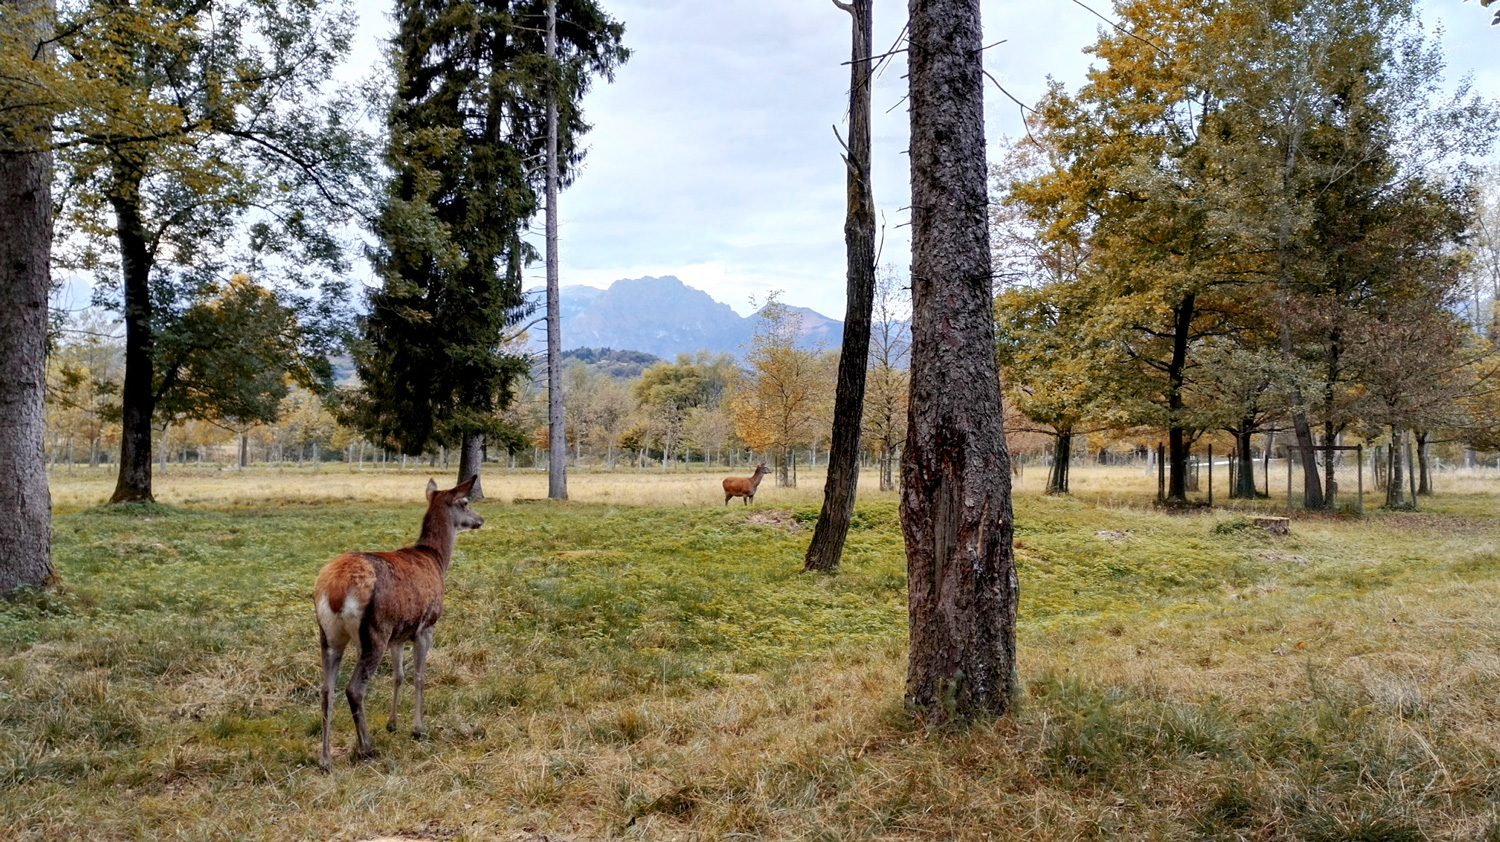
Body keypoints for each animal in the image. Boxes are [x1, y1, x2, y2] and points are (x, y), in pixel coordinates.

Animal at [313, 475, 483, 770]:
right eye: (465, 502)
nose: (480, 519)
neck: (437, 560)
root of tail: (335, 590)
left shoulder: (400, 634)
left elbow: (398, 676)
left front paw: (392, 724)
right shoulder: (426, 625)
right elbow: (419, 676)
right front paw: (417, 728)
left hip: (329, 635)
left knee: (326, 690)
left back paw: (325, 759)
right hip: (374, 631)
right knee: (354, 689)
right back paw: (366, 748)